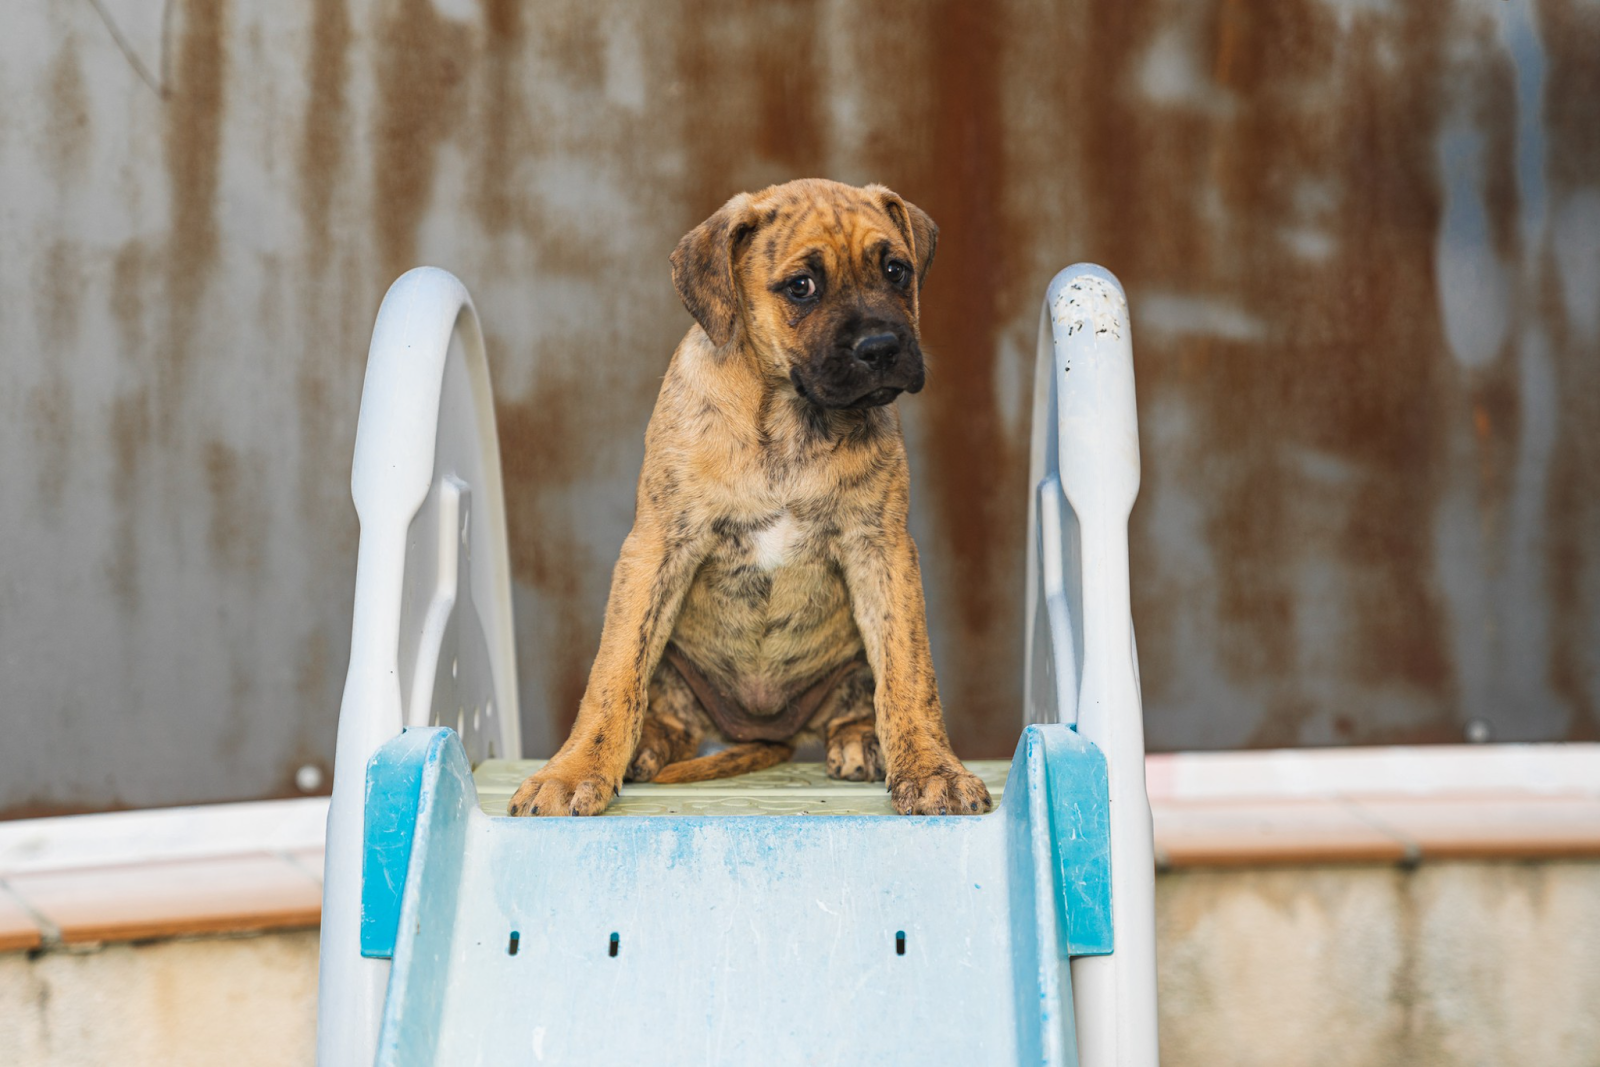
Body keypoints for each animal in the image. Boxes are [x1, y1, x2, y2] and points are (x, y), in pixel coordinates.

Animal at [505, 181, 992, 819]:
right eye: (801, 286)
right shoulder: (657, 546)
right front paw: (573, 771)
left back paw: (860, 739)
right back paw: (647, 745)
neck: (789, 417)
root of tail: (763, 728)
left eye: (896, 271)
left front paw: (933, 769)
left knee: (861, 698)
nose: (883, 347)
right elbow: (613, 676)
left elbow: (909, 673)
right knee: (664, 710)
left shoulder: (883, 550)